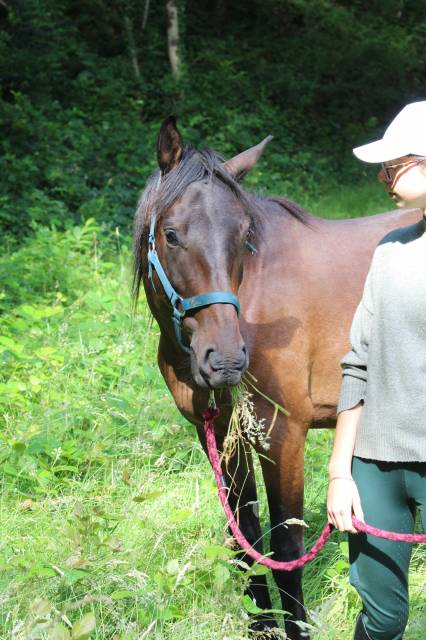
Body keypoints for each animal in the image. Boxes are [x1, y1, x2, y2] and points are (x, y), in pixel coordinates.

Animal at [133, 116, 421, 639]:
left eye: (245, 233)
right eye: (171, 234)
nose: (225, 361)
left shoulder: (282, 434)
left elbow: (285, 549)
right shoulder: (222, 436)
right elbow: (243, 539)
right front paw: (260, 626)